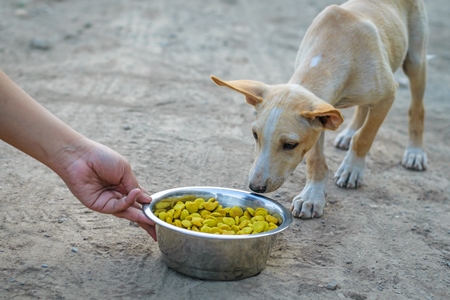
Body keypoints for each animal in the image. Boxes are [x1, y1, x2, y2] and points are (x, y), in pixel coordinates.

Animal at [211, 0, 428, 220]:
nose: (255, 187)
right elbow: (315, 158)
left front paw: (352, 168)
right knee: (363, 108)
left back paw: (415, 152)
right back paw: (348, 134)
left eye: (290, 145)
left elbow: (365, 136)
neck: (331, 49)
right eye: (255, 135)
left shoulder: (387, 96)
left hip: (415, 61)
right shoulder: (320, 119)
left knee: (417, 108)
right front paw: (312, 196)